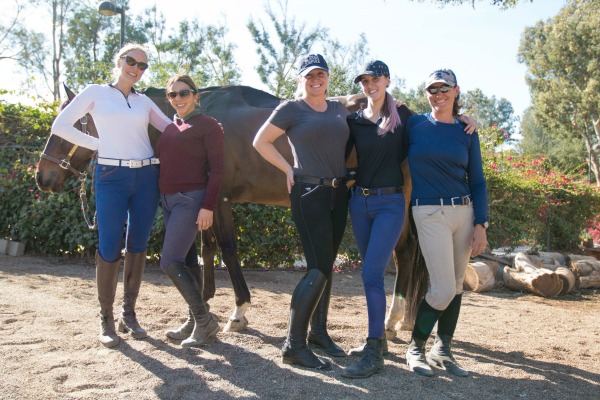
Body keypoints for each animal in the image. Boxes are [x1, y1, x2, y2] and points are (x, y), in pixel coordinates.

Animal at [36, 85, 426, 338]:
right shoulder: (207, 201)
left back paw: (391, 321)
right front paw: (204, 302)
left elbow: (226, 249)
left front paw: (238, 312)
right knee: (406, 254)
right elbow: (206, 248)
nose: (43, 177)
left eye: (73, 123)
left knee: (402, 254)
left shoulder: (220, 199)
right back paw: (398, 320)